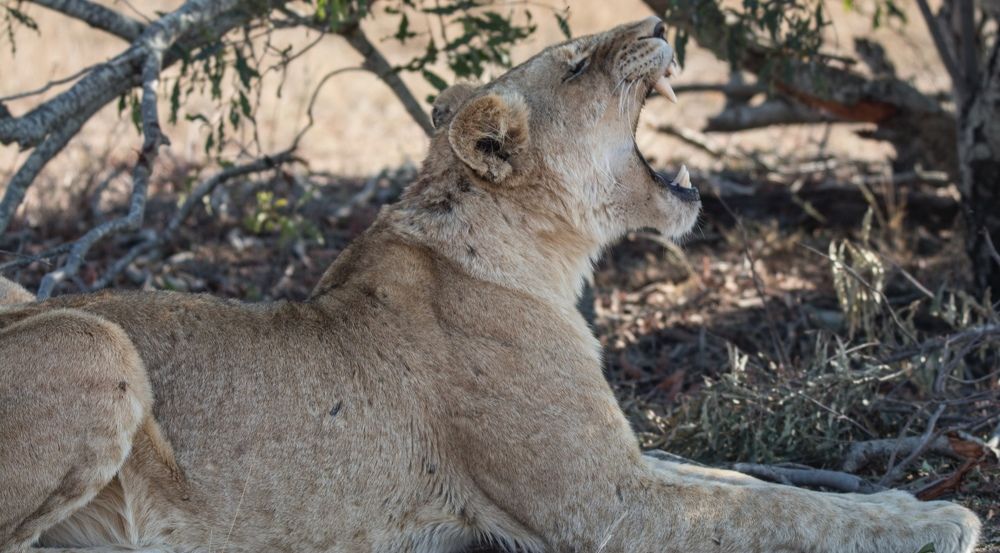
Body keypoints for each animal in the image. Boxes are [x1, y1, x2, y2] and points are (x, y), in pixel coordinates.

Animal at [0, 17, 981, 553]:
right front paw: (941, 521)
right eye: (579, 64)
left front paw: (900, 498)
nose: (659, 22)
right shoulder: (606, 505)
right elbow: (765, 515)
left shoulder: (625, 464)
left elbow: (752, 484)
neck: (549, 260)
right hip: (95, 340)